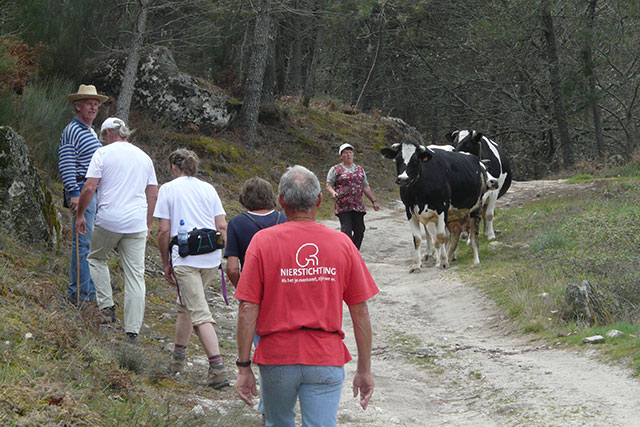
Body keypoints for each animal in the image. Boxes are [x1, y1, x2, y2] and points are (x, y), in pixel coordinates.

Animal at [381, 141, 498, 271]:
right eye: (397, 160)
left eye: (415, 161)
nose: (403, 179)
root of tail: (476, 159)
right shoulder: (410, 211)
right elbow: (418, 239)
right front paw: (416, 265)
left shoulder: (441, 209)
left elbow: (441, 237)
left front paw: (443, 262)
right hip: (453, 215)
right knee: (454, 235)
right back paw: (451, 257)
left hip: (475, 208)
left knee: (473, 237)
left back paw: (475, 260)